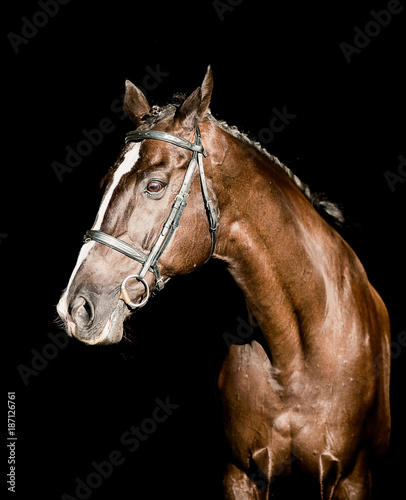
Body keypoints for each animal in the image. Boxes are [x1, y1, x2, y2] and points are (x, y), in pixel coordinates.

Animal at [56, 67, 390, 500]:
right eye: (103, 183)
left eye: (154, 185)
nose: (75, 307)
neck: (298, 351)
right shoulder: (241, 476)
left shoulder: (351, 479)